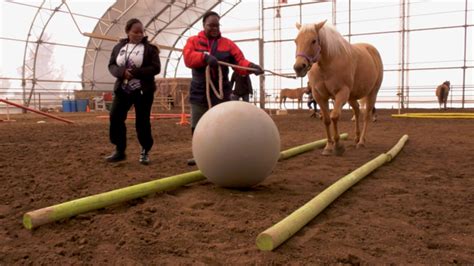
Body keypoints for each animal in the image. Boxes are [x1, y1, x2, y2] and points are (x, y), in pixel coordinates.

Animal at [294, 20, 384, 156]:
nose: (299, 67)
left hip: (372, 93)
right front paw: (328, 147)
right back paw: (356, 138)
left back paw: (361, 141)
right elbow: (326, 119)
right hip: (351, 96)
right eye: (296, 41)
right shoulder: (320, 96)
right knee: (357, 111)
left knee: (366, 115)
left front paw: (338, 146)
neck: (328, 64)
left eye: (314, 41)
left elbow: (335, 116)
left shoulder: (341, 93)